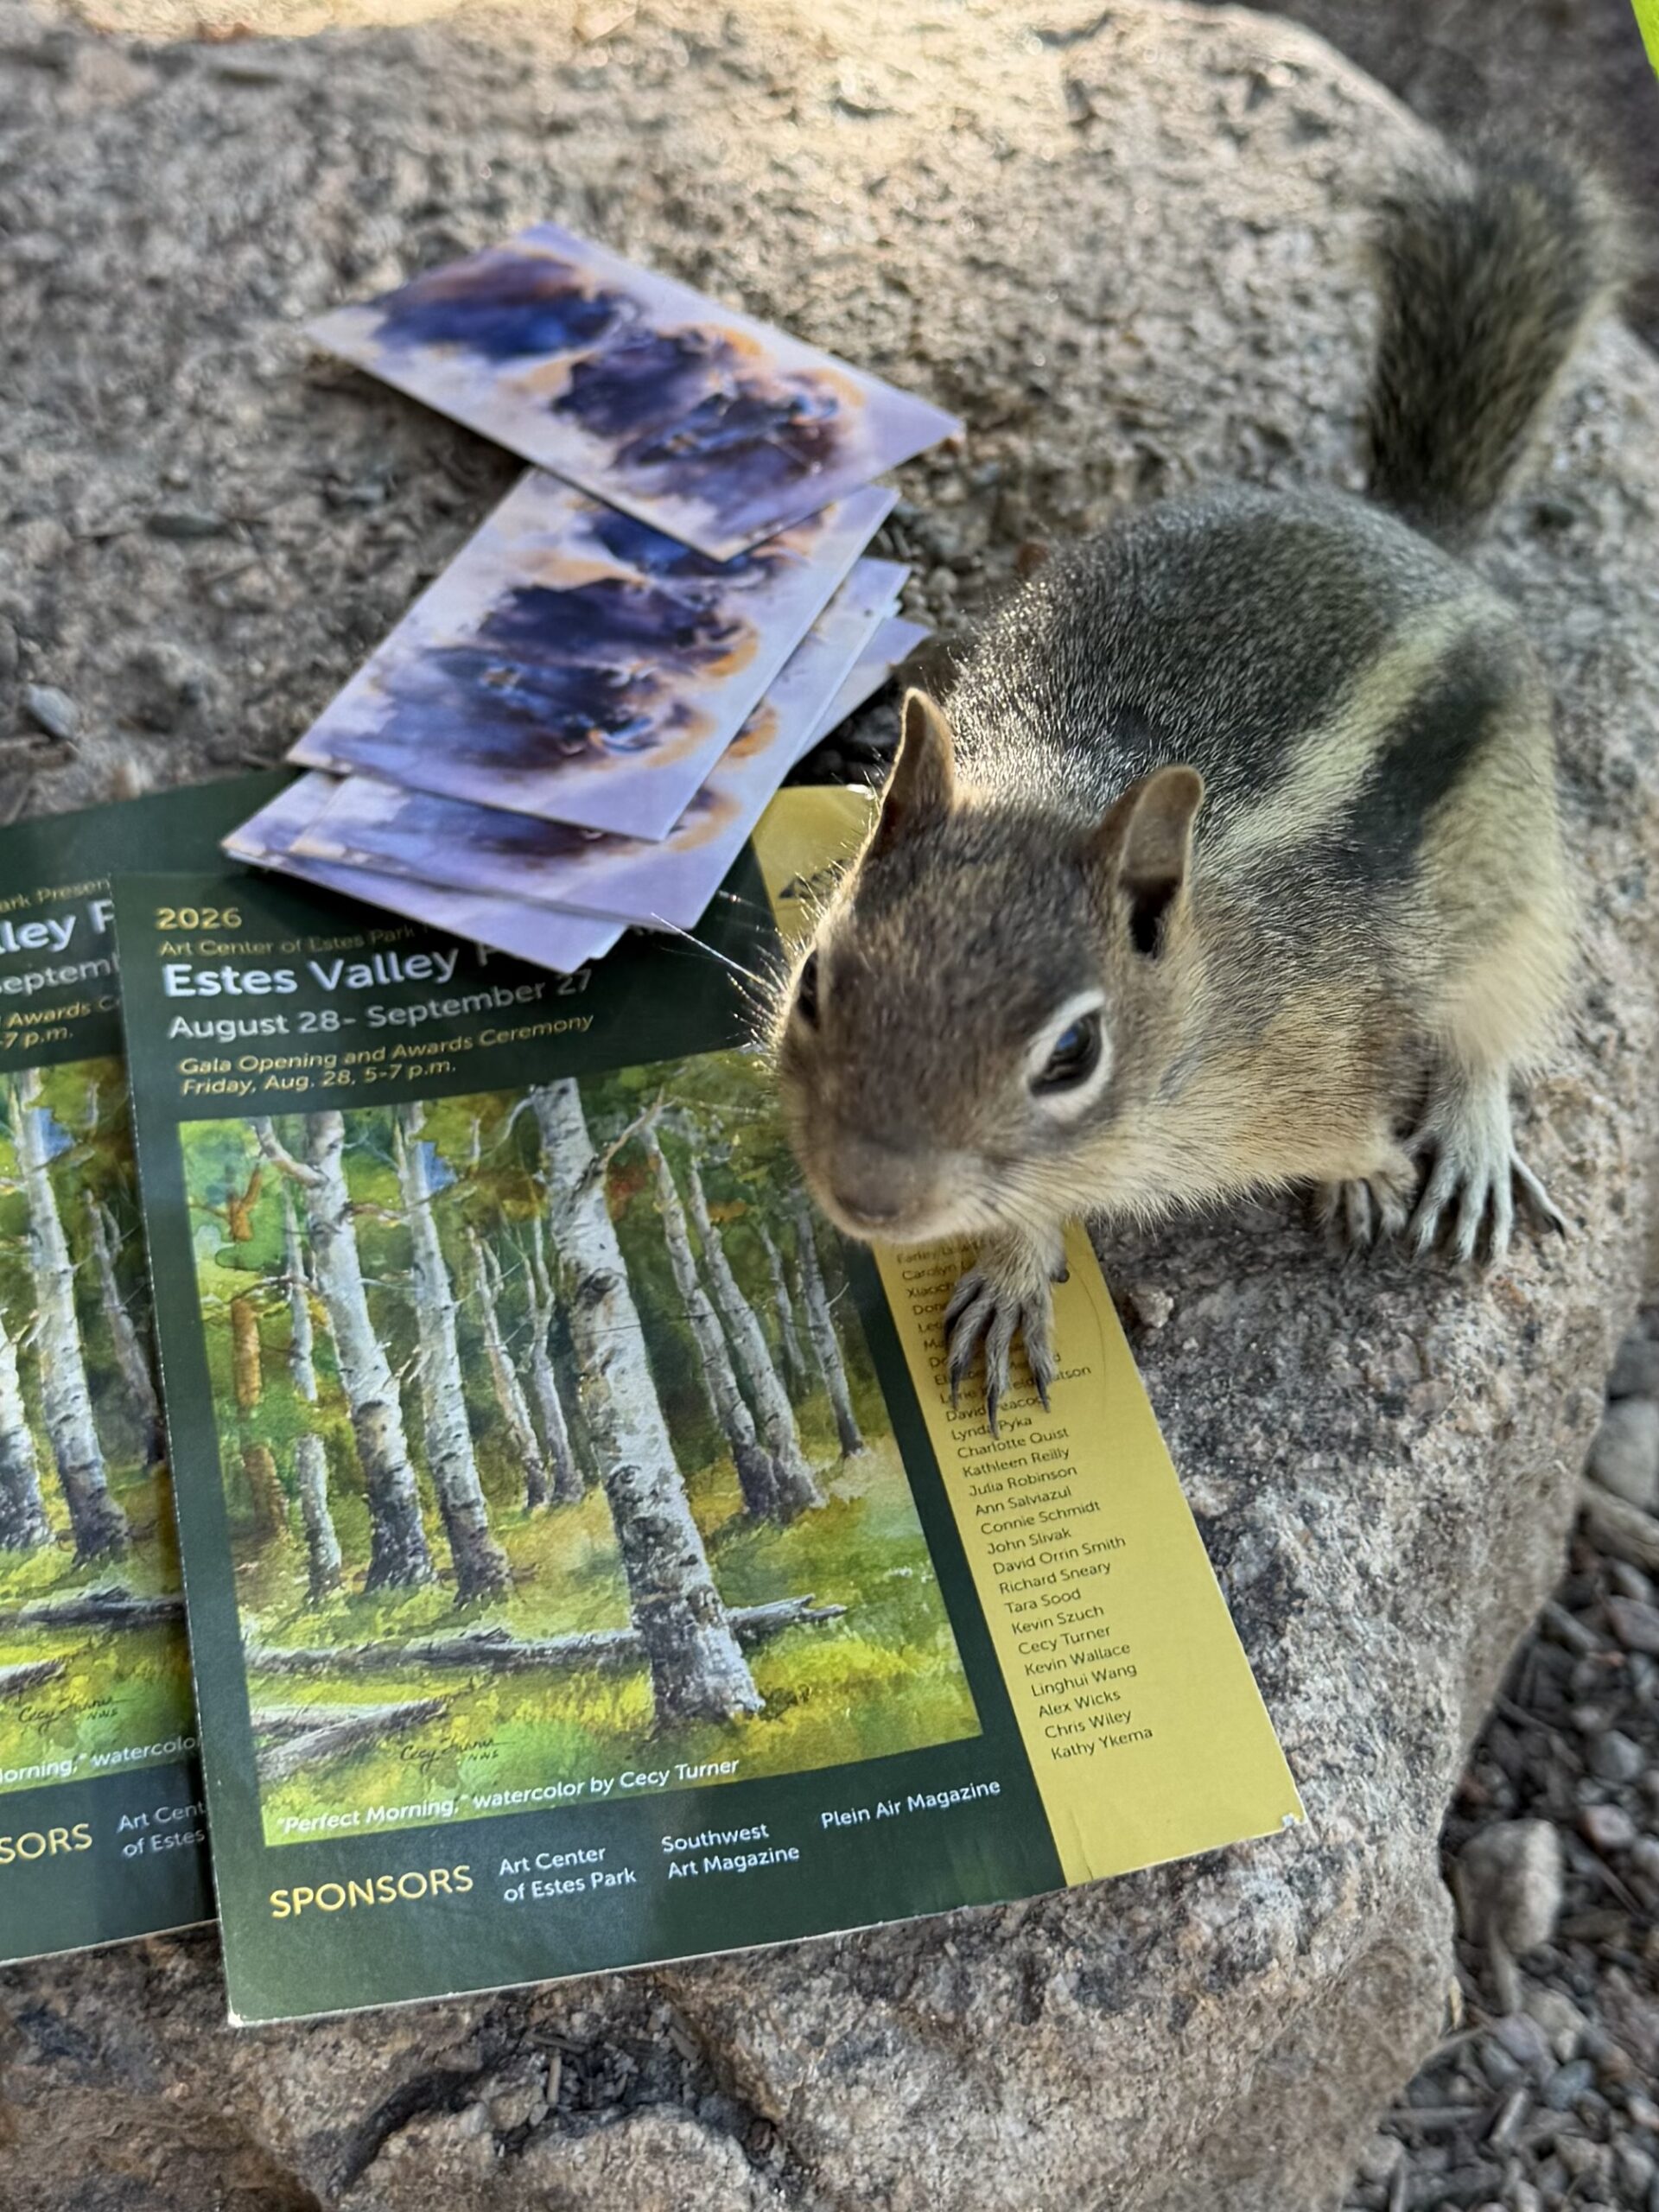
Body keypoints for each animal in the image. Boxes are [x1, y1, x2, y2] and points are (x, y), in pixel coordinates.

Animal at [770, 145, 1628, 1433]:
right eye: (815, 980)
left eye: (1072, 1056)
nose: (871, 1199)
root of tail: (1407, 526)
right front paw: (1013, 1275)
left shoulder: (1333, 1045)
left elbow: (1378, 1105)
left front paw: (1376, 1170)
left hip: (1516, 876)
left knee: (1497, 1020)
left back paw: (1469, 1147)